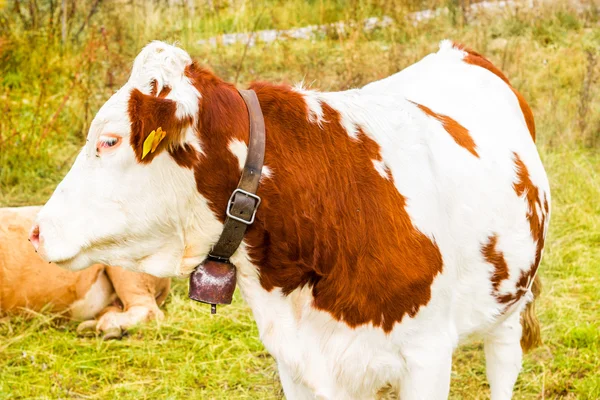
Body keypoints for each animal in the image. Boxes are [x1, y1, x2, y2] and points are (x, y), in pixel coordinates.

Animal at [30, 41, 552, 400]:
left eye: (110, 141)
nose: (36, 230)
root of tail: (458, 50)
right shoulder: (298, 360)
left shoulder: (427, 357)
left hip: (511, 301)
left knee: (503, 362)